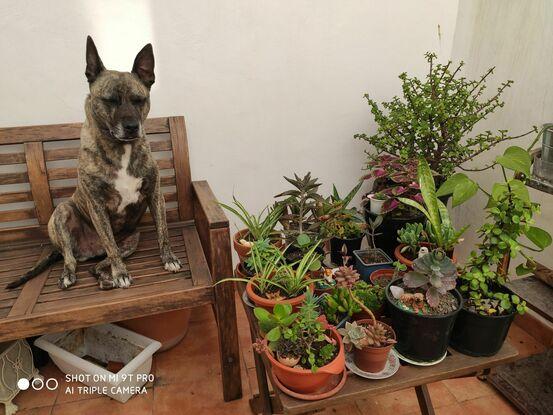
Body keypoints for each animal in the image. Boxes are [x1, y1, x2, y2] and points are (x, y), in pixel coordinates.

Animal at [6, 36, 182, 292]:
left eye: (140, 100)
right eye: (109, 100)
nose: (132, 127)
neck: (121, 149)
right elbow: (110, 243)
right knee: (75, 257)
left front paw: (169, 258)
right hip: (63, 213)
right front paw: (121, 273)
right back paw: (72, 274)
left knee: (98, 264)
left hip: (132, 240)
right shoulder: (97, 206)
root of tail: (89, 251)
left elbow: (163, 231)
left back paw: (105, 278)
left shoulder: (154, 194)